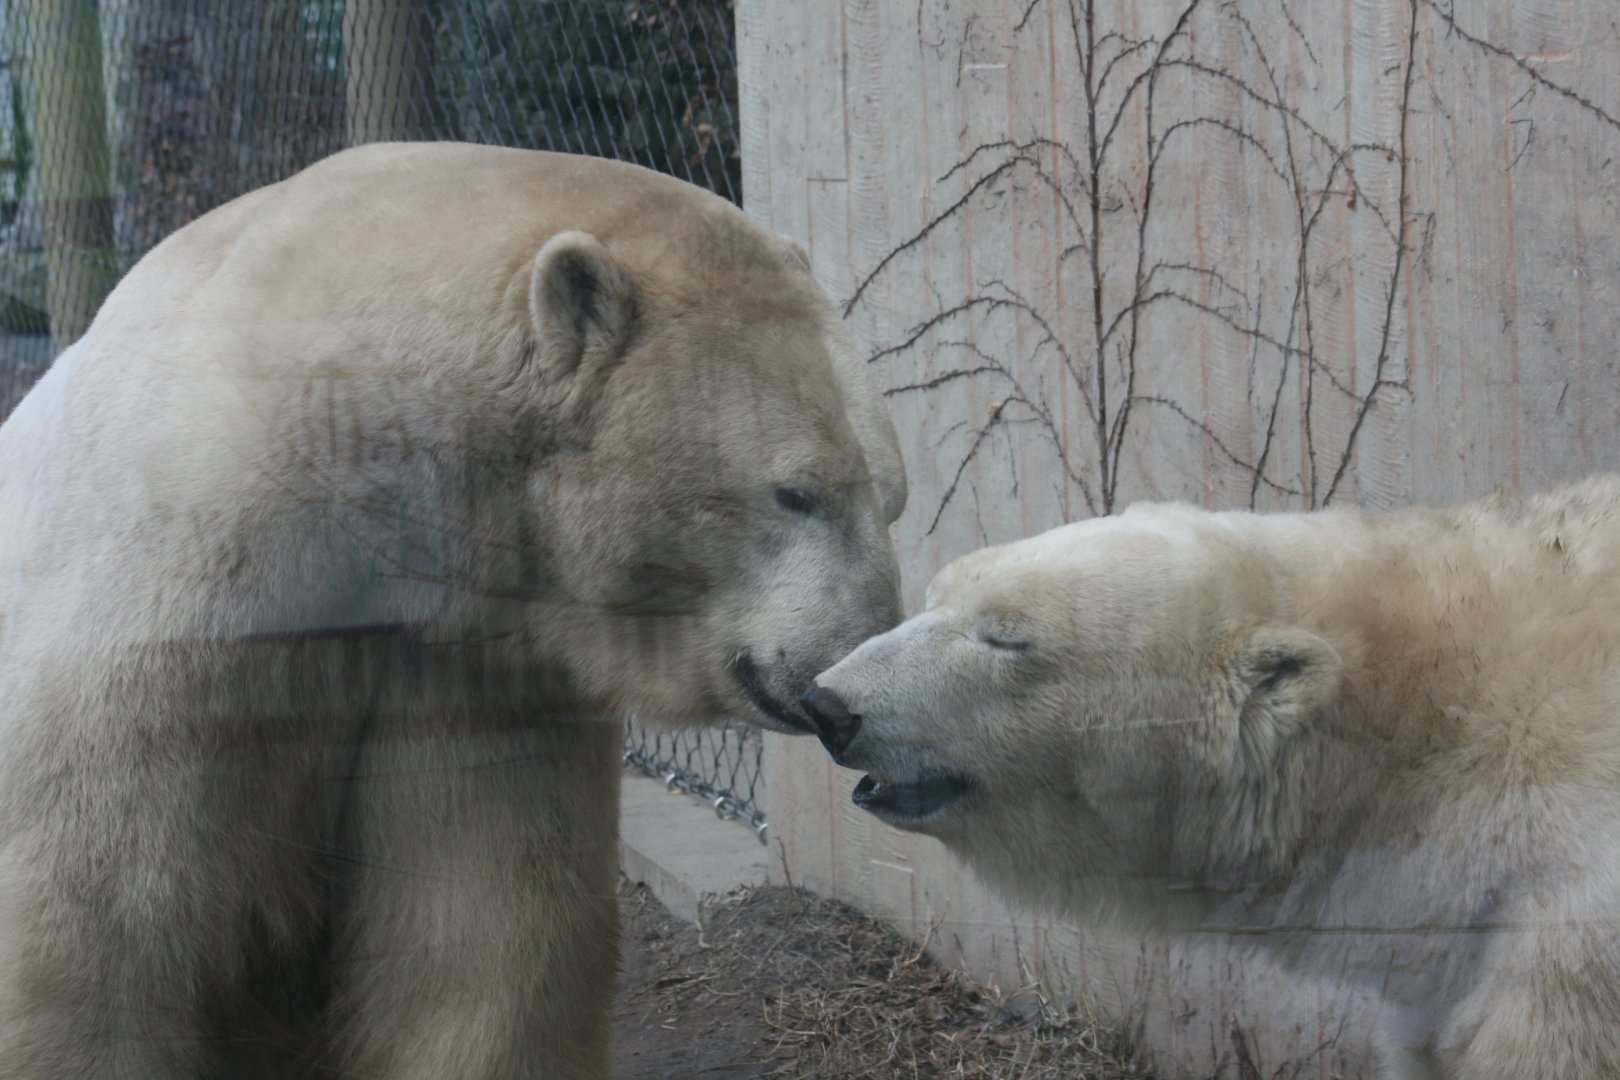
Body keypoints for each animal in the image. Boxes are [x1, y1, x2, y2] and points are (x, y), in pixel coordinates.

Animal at [0, 142, 906, 1078]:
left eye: (892, 496)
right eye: (795, 493)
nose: (841, 694)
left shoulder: (471, 661)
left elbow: (483, 928)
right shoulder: (181, 589)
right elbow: (102, 919)